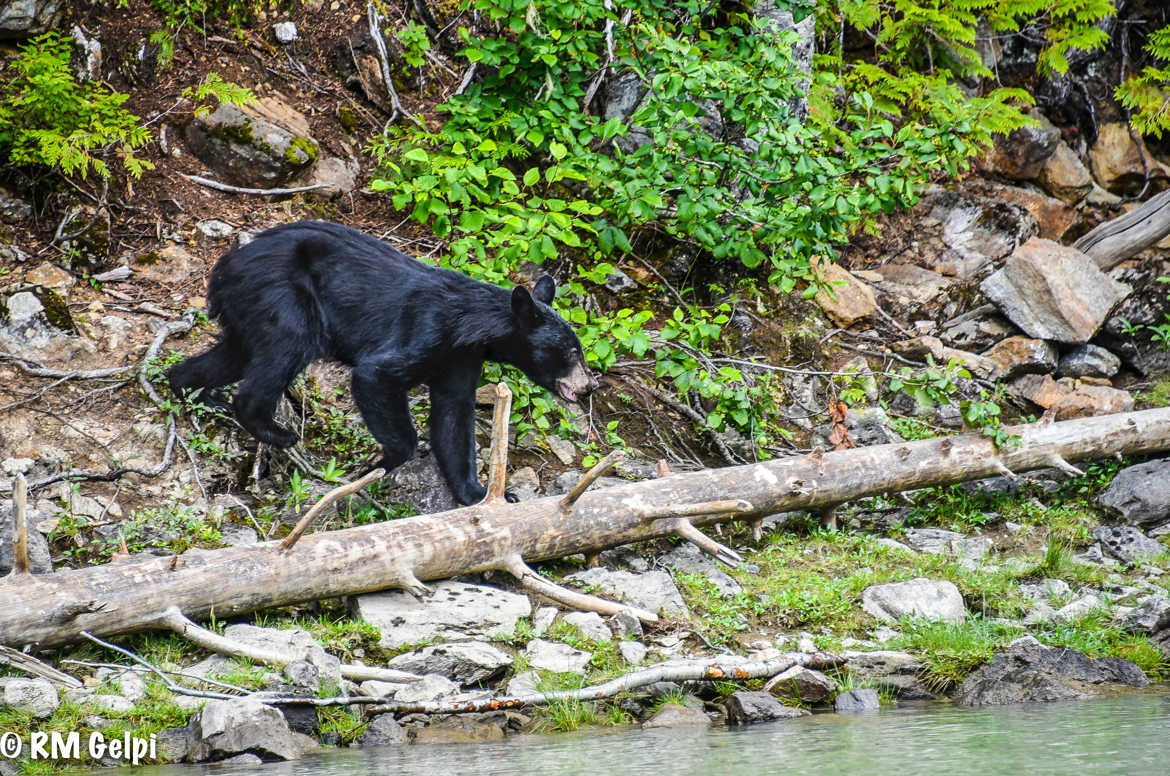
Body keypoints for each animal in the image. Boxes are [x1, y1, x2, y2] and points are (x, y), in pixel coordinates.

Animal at [169, 221, 599, 507]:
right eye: (571, 351)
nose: (589, 385)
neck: (470, 327)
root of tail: (225, 264)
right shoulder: (424, 331)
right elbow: (375, 376)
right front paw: (381, 460)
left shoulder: (460, 358)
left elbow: (453, 415)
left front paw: (481, 493)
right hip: (282, 293)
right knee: (286, 347)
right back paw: (274, 429)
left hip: (250, 308)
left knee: (233, 354)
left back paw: (194, 392)